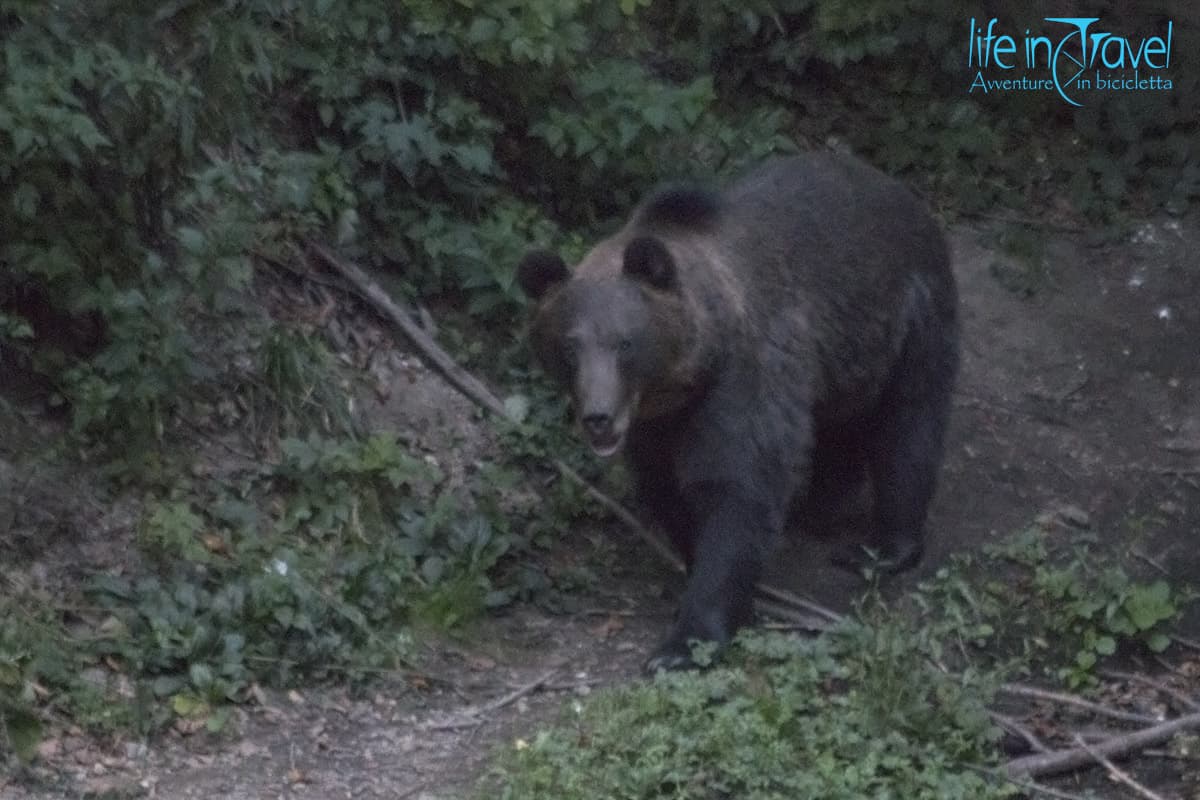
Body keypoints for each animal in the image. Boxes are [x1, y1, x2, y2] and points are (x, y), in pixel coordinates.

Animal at [517, 152, 959, 671]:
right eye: (569, 347)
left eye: (624, 343)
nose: (598, 417)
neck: (684, 378)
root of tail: (896, 187)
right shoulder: (655, 425)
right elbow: (667, 488)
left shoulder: (744, 375)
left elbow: (736, 488)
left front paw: (684, 642)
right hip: (845, 360)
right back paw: (822, 502)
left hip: (909, 316)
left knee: (909, 424)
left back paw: (884, 546)